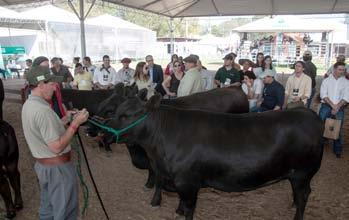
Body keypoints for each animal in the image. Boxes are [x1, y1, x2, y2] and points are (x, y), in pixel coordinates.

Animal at [106, 96, 324, 220]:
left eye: (126, 115)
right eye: (116, 111)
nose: (104, 132)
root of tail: (307, 112)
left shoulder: (187, 182)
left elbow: (189, 208)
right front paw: (177, 211)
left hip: (303, 173)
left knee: (304, 195)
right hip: (295, 174)